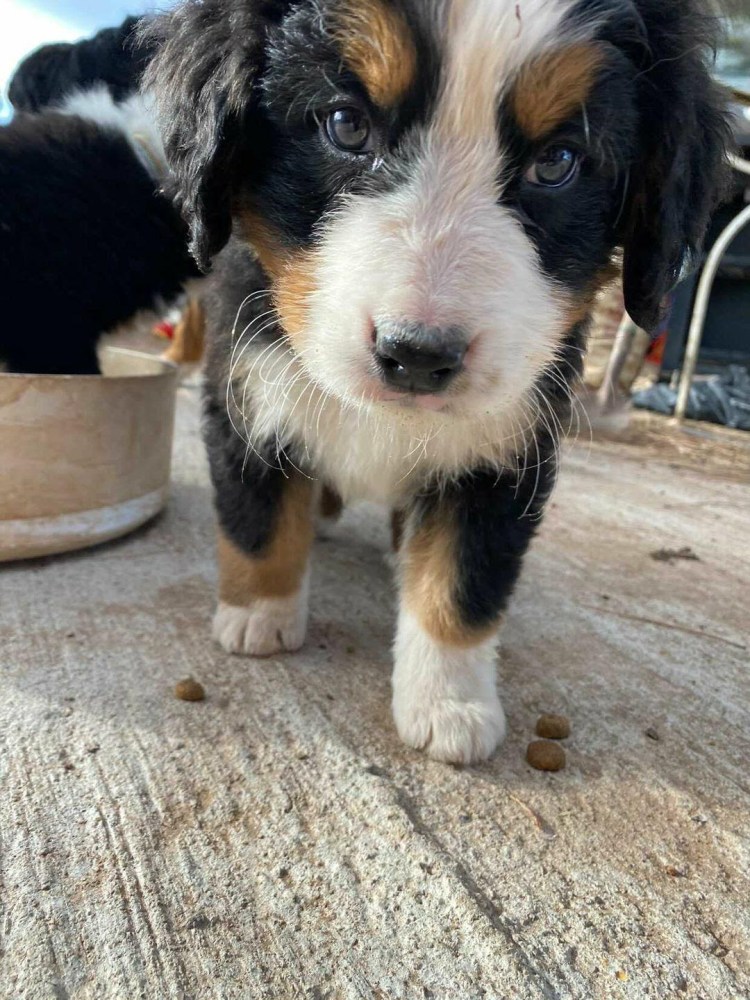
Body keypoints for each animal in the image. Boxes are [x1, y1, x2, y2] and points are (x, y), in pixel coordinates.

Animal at [143, 0, 732, 762]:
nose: (418, 356)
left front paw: (449, 704)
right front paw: (259, 616)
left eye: (558, 163)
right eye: (346, 124)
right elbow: (257, 516)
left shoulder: (506, 448)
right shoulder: (247, 386)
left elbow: (460, 580)